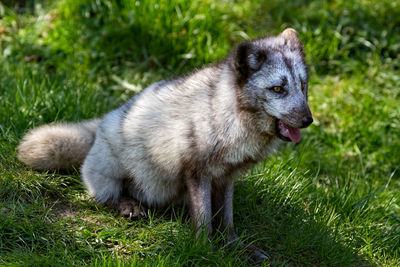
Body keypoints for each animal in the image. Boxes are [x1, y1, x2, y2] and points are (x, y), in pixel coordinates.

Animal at [18, 28, 312, 262]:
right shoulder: (197, 173)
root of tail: (100, 122)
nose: (308, 120)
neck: (229, 115)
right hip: (111, 168)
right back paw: (128, 205)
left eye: (302, 86)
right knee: (101, 197)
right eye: (277, 89)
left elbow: (226, 220)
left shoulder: (226, 177)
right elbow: (204, 221)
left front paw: (236, 247)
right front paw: (205, 251)